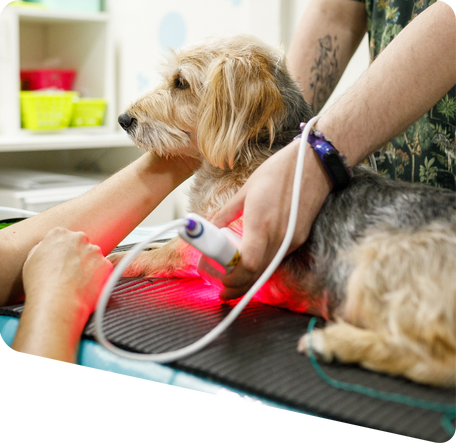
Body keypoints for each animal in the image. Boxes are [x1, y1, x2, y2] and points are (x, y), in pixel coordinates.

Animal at [111, 35, 456, 388]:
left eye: (180, 83)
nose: (124, 119)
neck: (252, 149)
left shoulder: (229, 233)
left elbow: (168, 252)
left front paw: (121, 260)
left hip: (376, 264)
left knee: (433, 359)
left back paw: (335, 343)